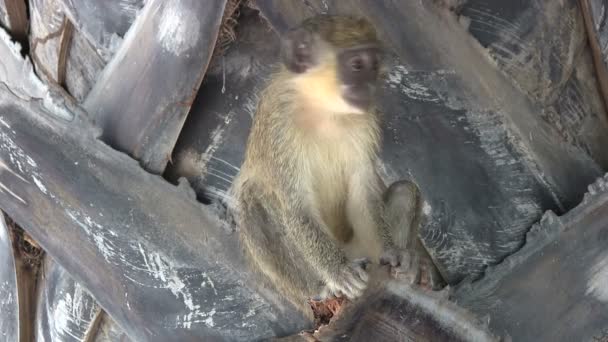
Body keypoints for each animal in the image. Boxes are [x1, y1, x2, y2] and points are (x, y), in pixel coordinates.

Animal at [228, 14, 442, 318]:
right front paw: (338, 271)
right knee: (251, 201)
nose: (370, 86)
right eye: (357, 65)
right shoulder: (278, 124)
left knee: (405, 191)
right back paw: (323, 290)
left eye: (374, 65)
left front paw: (396, 254)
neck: (324, 109)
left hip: (361, 248)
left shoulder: (367, 121)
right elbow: (296, 206)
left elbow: (363, 190)